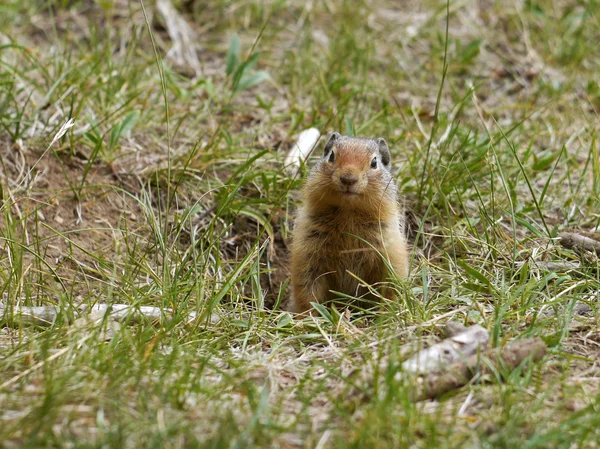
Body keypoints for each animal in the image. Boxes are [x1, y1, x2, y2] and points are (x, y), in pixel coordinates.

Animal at [290, 130, 408, 314]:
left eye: (374, 162)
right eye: (331, 155)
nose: (348, 178)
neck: (349, 212)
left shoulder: (388, 252)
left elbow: (388, 287)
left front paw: (387, 313)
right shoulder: (308, 251)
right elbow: (307, 289)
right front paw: (308, 316)